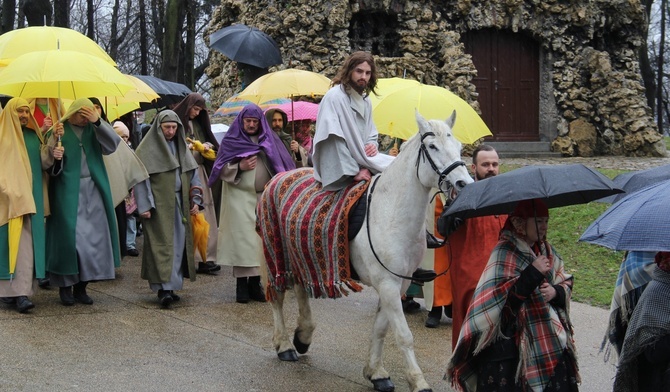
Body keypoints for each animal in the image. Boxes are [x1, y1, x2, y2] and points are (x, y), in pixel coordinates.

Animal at [258, 111, 472, 392]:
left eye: (458, 146)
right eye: (433, 146)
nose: (464, 183)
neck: (391, 213)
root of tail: (277, 178)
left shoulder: (398, 285)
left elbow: (380, 329)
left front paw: (376, 373)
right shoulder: (388, 284)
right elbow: (403, 335)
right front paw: (418, 380)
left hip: (301, 253)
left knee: (301, 287)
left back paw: (303, 336)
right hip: (276, 253)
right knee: (278, 296)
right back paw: (284, 345)